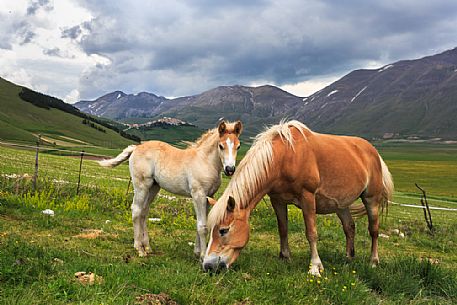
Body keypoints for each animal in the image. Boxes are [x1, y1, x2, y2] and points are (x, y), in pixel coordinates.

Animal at [99, 120, 242, 258]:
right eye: (221, 146)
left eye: (238, 146)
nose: (230, 169)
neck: (204, 161)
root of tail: (136, 147)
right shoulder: (198, 195)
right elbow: (202, 226)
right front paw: (202, 256)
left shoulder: (209, 196)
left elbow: (202, 223)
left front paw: (197, 252)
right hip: (141, 186)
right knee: (136, 210)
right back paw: (139, 248)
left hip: (153, 187)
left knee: (144, 212)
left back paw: (148, 247)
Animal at [203, 120, 392, 274]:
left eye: (223, 230)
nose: (207, 266)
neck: (285, 157)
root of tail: (373, 151)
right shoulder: (277, 200)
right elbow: (283, 229)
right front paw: (285, 257)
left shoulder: (307, 197)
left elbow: (311, 233)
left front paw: (315, 266)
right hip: (341, 205)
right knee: (349, 227)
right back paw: (348, 258)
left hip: (371, 199)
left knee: (374, 230)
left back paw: (373, 262)